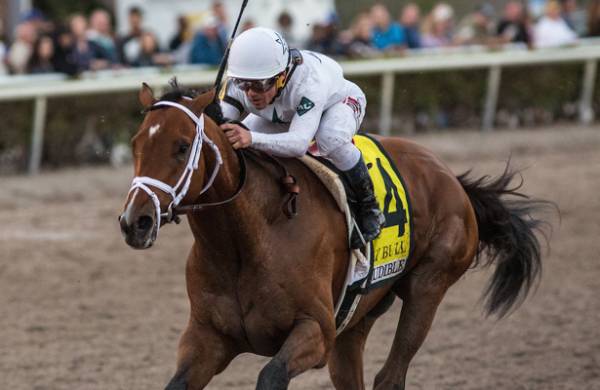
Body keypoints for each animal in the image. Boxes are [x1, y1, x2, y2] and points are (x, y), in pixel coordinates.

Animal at [119, 83, 552, 390]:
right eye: (136, 143)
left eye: (180, 147)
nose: (134, 221)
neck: (246, 241)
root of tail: (450, 176)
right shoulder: (207, 339)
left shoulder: (316, 332)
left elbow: (270, 375)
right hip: (359, 315)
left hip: (428, 287)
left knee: (390, 376)